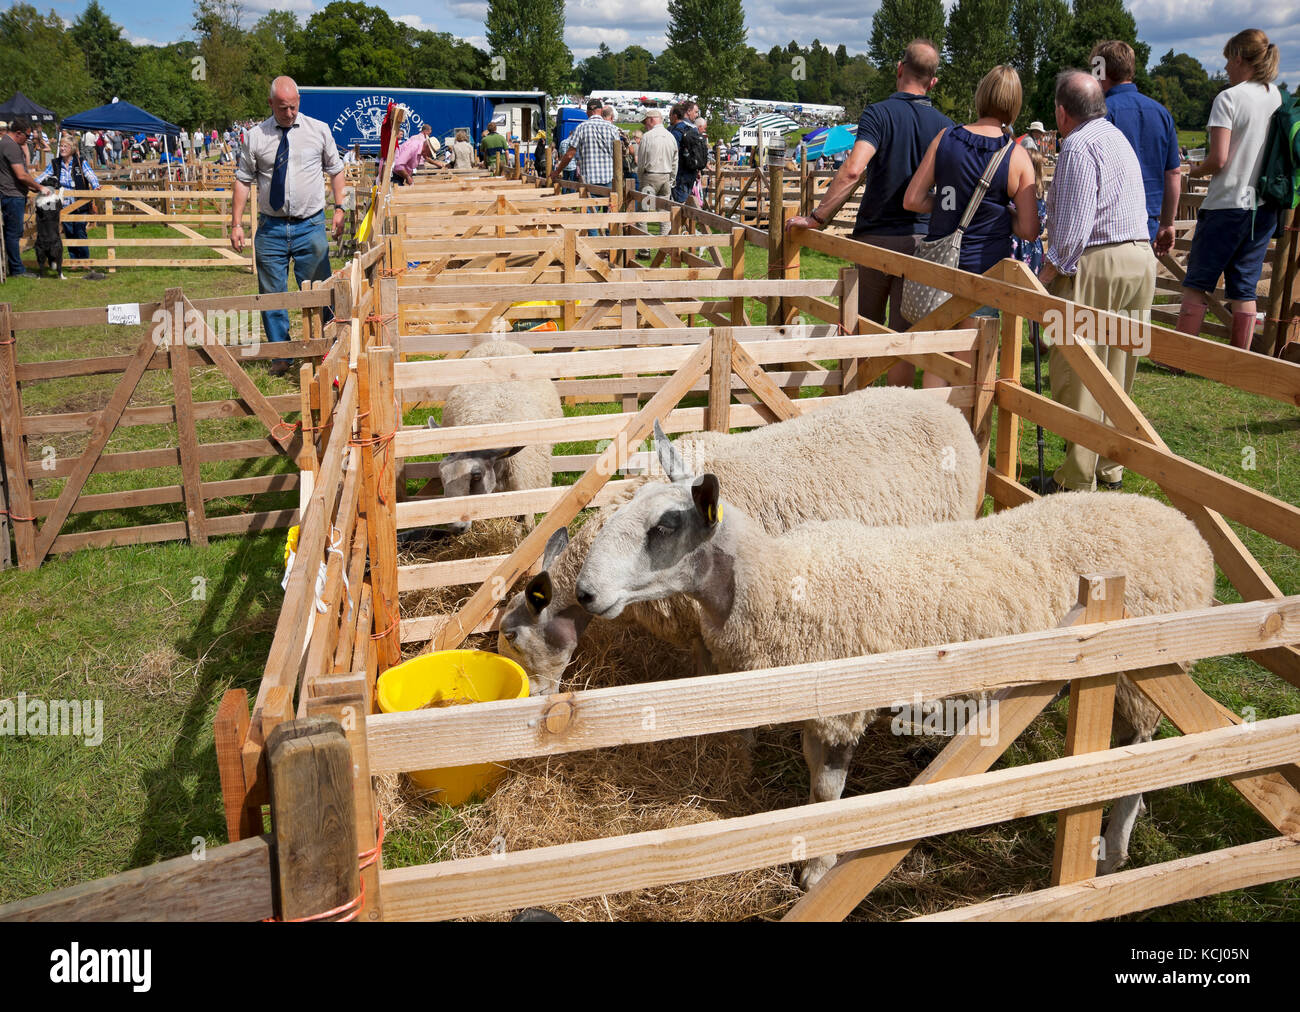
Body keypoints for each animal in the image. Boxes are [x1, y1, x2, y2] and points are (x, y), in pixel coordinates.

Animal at [574, 473, 1211, 884]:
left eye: (664, 526)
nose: (583, 593)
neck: (779, 582)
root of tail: (1179, 525)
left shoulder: (840, 706)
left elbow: (827, 794)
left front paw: (816, 871)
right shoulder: (816, 705)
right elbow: (816, 787)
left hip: (1144, 667)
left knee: (1139, 752)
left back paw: (1114, 849)